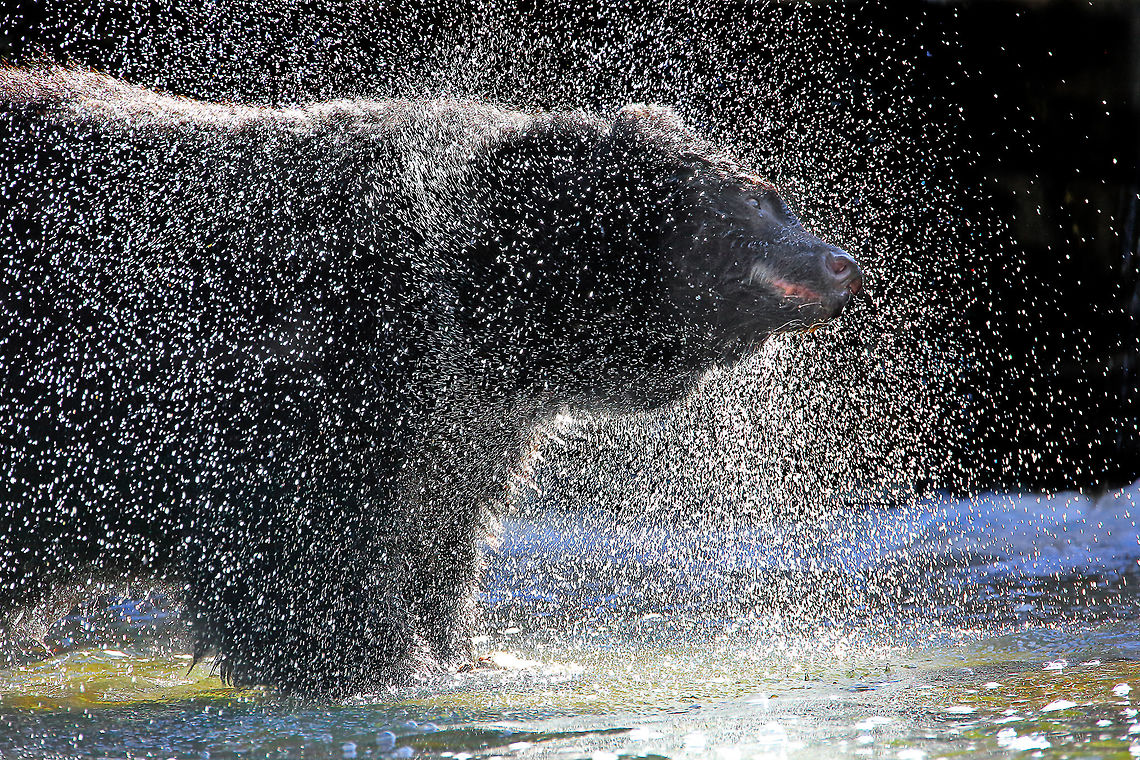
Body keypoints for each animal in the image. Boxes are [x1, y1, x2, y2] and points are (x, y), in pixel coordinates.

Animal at [0, 66, 862, 696]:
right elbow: (300, 569)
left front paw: (471, 653)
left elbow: (438, 547)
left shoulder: (463, 427)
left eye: (778, 197)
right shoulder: (302, 378)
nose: (840, 263)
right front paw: (386, 668)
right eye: (749, 201)